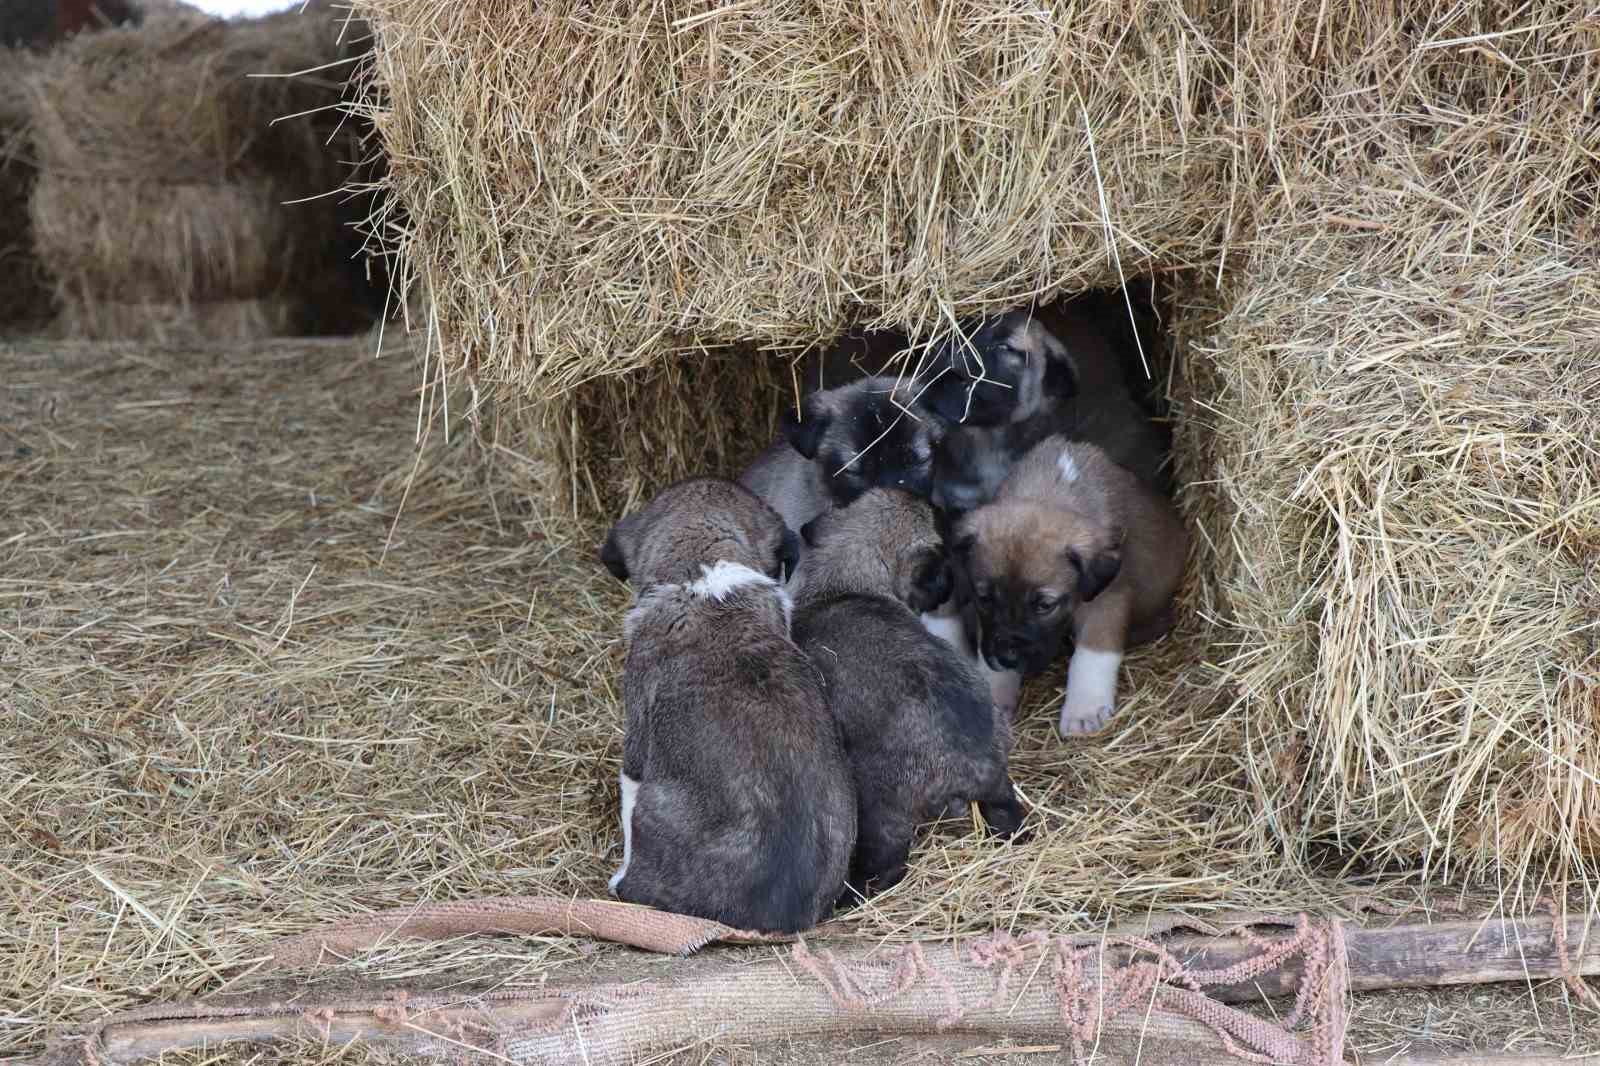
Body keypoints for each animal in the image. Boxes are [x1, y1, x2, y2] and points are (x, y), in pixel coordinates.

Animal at [947, 435, 1190, 736]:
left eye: (1045, 605)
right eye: (985, 599)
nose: (1008, 659)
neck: (1052, 489)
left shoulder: (1106, 600)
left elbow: (1092, 653)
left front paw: (1084, 710)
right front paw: (995, 692)